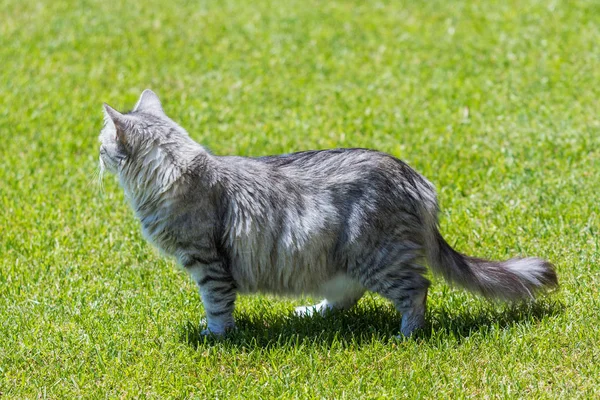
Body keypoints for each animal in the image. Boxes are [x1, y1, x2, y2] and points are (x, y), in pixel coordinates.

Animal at [98, 89, 556, 336]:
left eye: (102, 144)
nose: (94, 154)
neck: (176, 173)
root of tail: (412, 176)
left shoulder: (208, 263)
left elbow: (216, 306)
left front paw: (216, 337)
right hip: (335, 257)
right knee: (347, 295)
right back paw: (311, 311)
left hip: (377, 255)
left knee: (417, 290)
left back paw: (407, 335)